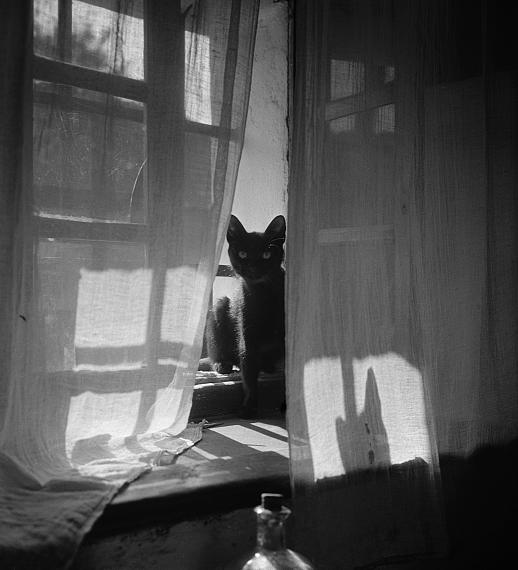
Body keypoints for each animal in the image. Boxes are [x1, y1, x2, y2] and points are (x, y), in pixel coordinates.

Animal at [207, 215, 288, 414]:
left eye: (266, 254)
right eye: (243, 254)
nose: (252, 267)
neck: (263, 293)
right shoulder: (247, 337)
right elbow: (249, 370)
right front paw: (250, 405)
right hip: (220, 307)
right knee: (218, 354)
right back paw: (222, 365)